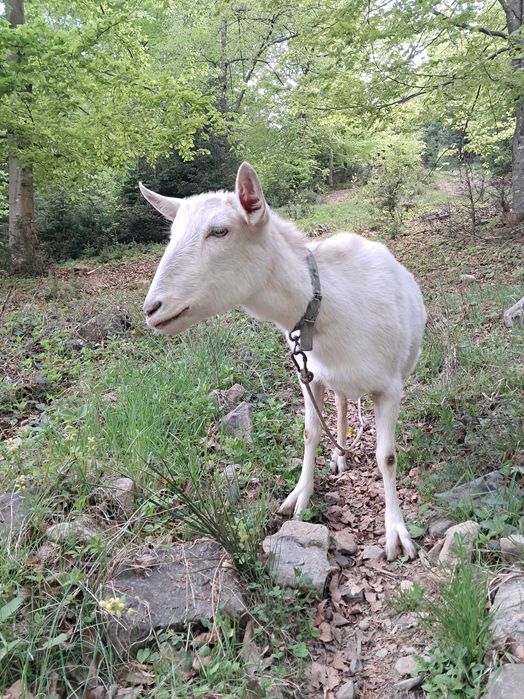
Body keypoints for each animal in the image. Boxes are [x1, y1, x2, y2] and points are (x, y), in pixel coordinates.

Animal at [140, 162, 426, 560]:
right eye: (171, 234)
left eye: (219, 230)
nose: (152, 308)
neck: (332, 308)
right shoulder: (309, 374)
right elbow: (310, 432)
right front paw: (300, 498)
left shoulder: (390, 386)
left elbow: (387, 457)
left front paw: (397, 534)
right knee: (340, 404)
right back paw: (339, 455)